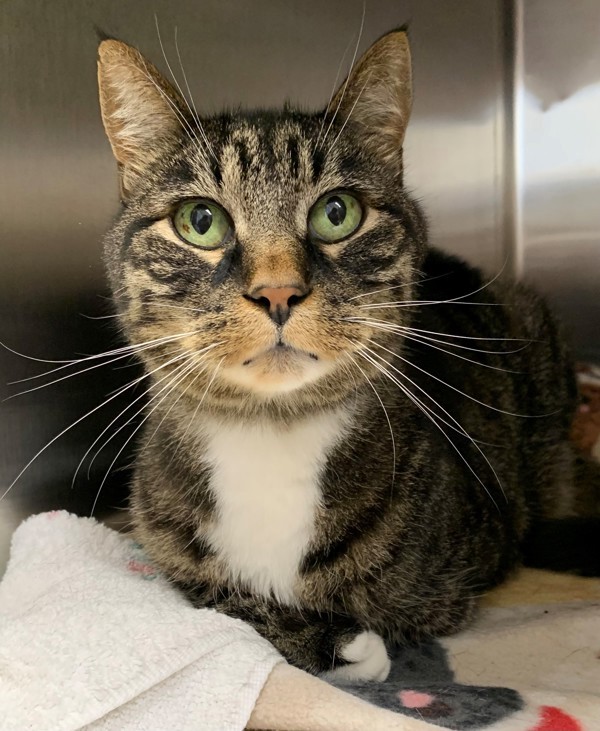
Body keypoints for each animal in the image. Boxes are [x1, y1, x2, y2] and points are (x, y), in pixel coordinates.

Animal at [96, 28, 596, 680]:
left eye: (337, 213)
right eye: (200, 220)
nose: (277, 291)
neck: (271, 432)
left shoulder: (478, 555)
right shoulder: (161, 550)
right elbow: (214, 598)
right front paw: (340, 643)